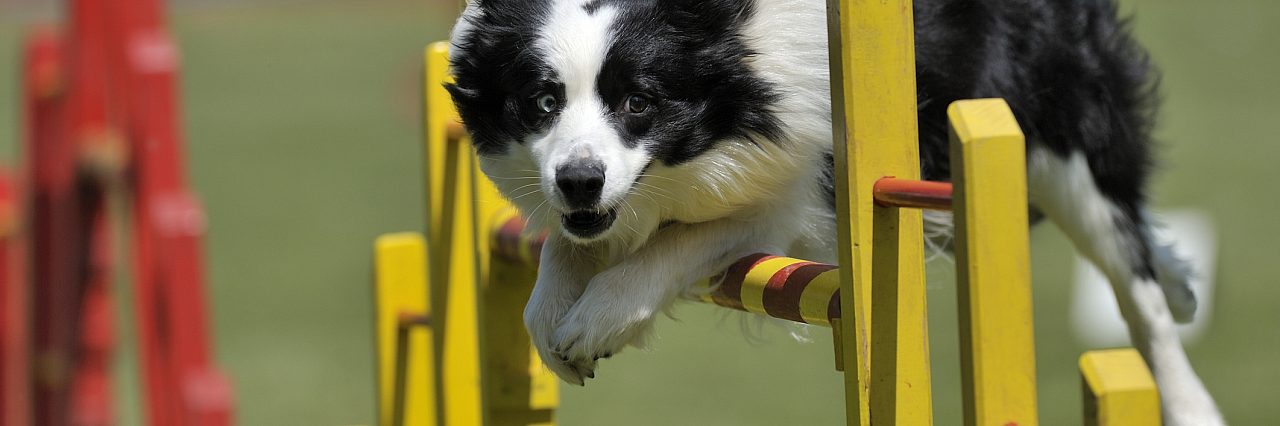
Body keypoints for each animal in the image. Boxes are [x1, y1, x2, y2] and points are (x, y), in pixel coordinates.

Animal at [445, 0, 1223, 419]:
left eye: (639, 100)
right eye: (542, 101)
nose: (579, 180)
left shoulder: (791, 184)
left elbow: (673, 244)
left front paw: (596, 321)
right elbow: (562, 250)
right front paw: (554, 317)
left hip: (1049, 131)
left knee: (1133, 279)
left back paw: (1187, 396)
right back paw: (1185, 281)